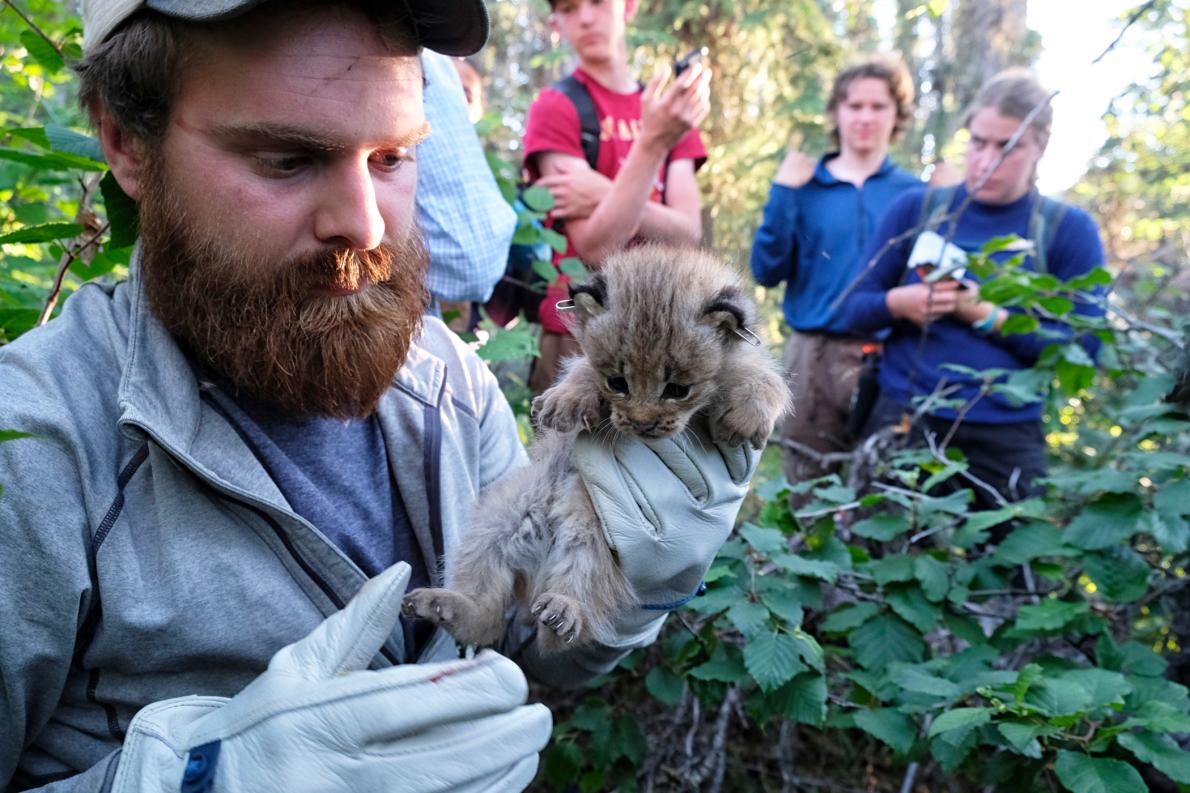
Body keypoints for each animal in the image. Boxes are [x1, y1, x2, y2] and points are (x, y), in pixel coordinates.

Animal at [404, 245, 794, 647]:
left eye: (677, 389)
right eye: (617, 382)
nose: (642, 423)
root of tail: (541, 548)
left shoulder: (749, 358)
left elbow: (765, 379)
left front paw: (747, 416)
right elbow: (582, 369)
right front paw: (566, 399)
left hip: (597, 542)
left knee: (573, 601)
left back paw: (562, 610)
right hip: (499, 516)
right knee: (487, 616)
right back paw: (446, 604)